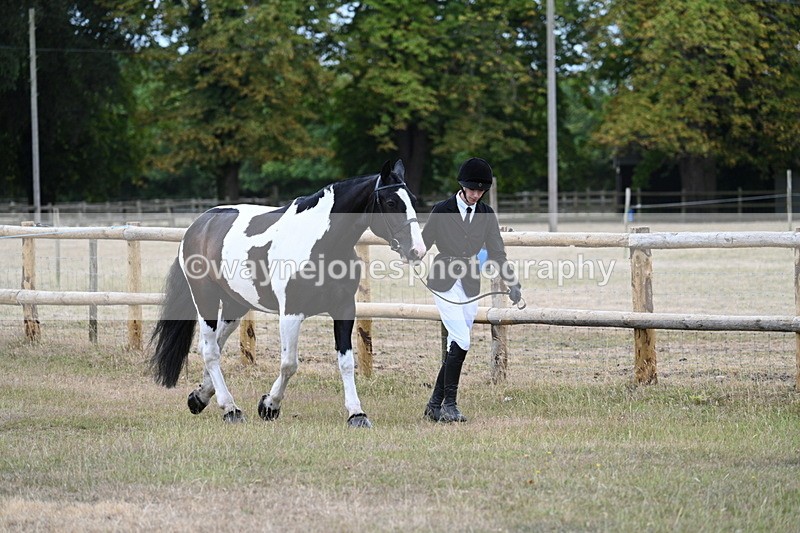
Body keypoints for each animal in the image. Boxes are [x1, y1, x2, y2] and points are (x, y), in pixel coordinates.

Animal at [149, 160, 426, 428]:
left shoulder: (344, 308)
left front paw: (356, 414)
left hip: (234, 304)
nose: (417, 251)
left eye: (413, 199)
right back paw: (230, 408)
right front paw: (269, 406)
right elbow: (289, 364)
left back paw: (200, 397)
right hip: (205, 297)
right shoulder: (291, 313)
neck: (321, 243)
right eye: (391, 202)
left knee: (213, 345)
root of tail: (198, 226)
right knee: (210, 350)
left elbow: (346, 362)